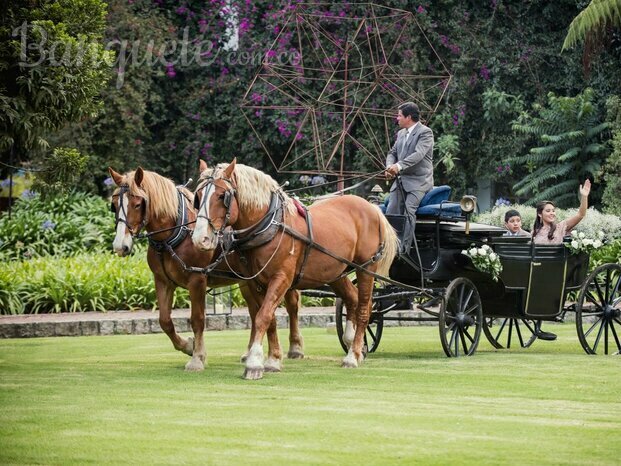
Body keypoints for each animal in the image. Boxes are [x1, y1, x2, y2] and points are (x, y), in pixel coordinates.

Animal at [108, 167, 304, 372]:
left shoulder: (197, 280)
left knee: (292, 305)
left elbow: (197, 319)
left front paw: (197, 357)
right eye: (113, 205)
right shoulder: (162, 281)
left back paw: (295, 347)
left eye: (138, 204)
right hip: (248, 280)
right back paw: (249, 352)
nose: (120, 246)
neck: (174, 234)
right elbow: (165, 321)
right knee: (254, 311)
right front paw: (188, 346)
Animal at [191, 158, 400, 380]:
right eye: (198, 197)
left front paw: (254, 362)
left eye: (222, 196)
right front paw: (273, 360)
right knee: (353, 298)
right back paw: (354, 344)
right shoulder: (255, 282)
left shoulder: (281, 278)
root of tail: (372, 208)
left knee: (364, 308)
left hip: (366, 268)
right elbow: (269, 319)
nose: (200, 238)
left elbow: (262, 316)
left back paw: (352, 355)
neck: (270, 224)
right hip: (336, 271)